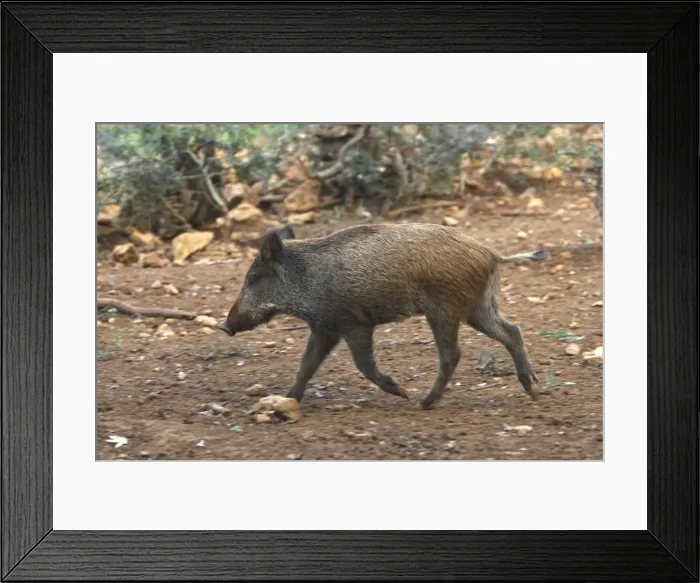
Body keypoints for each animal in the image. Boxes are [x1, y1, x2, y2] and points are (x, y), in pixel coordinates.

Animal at [218, 223, 548, 410]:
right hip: (477, 308)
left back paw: (422, 403)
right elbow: (306, 365)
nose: (224, 325)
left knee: (452, 354)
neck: (306, 279)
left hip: (445, 310)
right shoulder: (325, 327)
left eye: (253, 279)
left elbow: (363, 365)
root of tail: (492, 254)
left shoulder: (354, 324)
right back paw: (533, 391)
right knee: (512, 331)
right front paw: (287, 400)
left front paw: (400, 391)